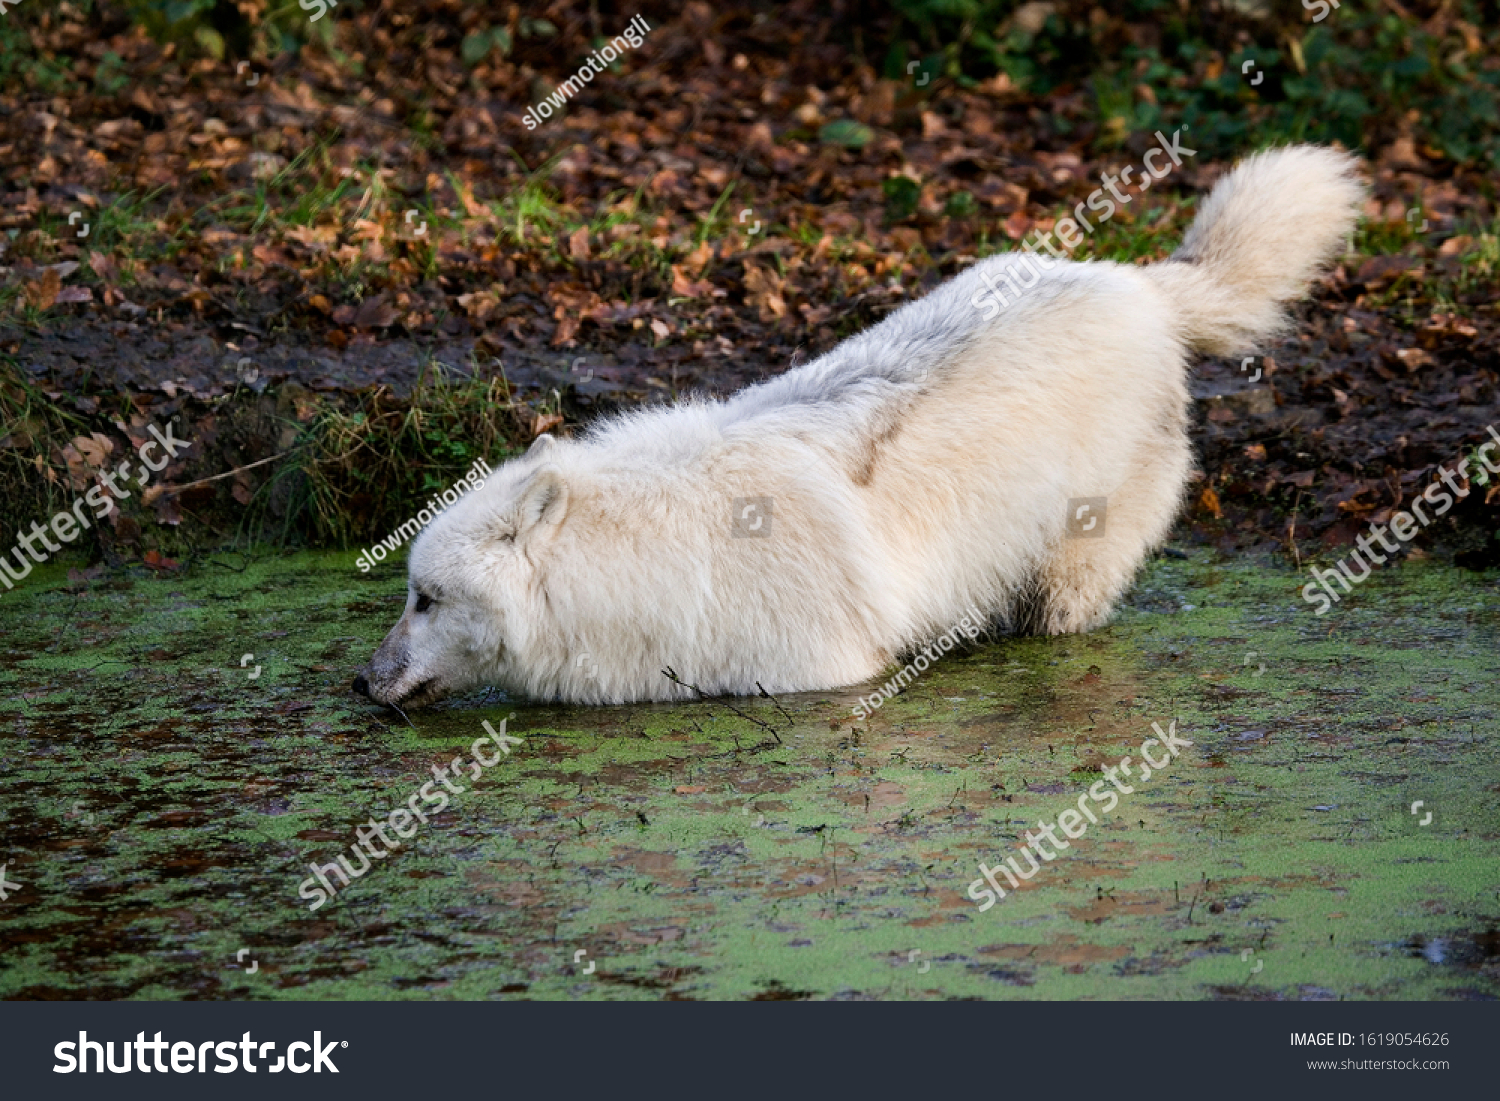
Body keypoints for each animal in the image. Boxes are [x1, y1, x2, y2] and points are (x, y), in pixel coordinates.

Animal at [357, 144, 1368, 708]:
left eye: (426, 599)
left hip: (1070, 574)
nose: (362, 681)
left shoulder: (826, 672)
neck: (640, 559)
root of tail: (1138, 282)